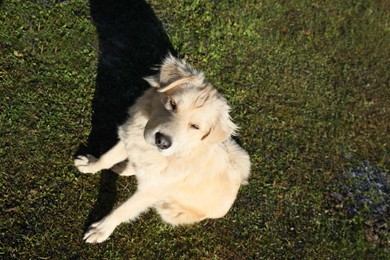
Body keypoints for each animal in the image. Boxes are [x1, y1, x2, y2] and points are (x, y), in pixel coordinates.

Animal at [74, 54, 251, 244]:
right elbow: (107, 157)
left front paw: (100, 229)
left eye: (195, 126)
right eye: (172, 104)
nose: (162, 141)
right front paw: (90, 164)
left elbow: (123, 210)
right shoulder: (130, 137)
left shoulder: (150, 191)